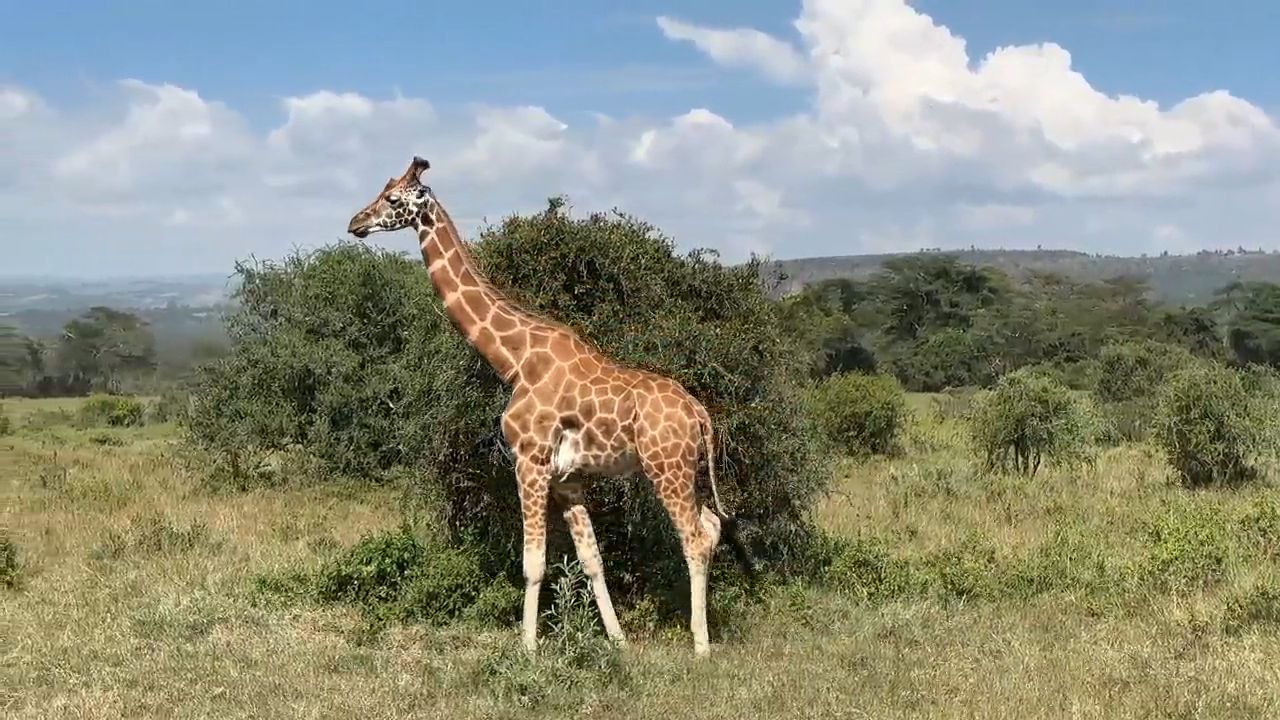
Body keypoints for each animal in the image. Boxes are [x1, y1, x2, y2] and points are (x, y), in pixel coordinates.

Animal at [345, 156, 752, 655]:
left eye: (393, 199)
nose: (355, 223)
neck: (515, 362)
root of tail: (700, 413)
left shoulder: (530, 461)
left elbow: (534, 562)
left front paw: (528, 648)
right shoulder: (568, 477)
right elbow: (591, 558)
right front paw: (618, 642)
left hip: (666, 467)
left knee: (695, 537)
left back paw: (701, 645)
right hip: (684, 468)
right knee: (711, 525)